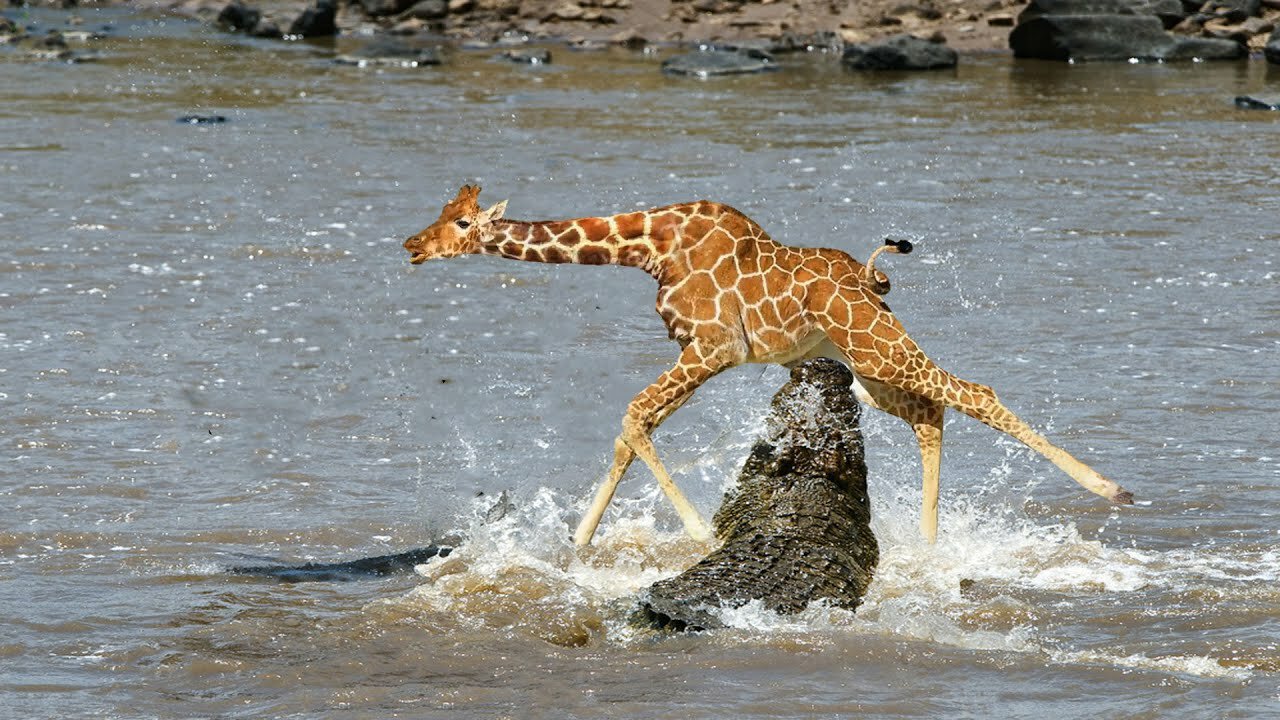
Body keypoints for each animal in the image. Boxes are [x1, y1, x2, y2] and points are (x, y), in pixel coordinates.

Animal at [404, 184, 1136, 543]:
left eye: (463, 223)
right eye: (442, 212)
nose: (413, 245)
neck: (647, 249)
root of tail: (870, 280)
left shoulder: (713, 348)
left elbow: (633, 416)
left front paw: (701, 531)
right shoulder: (696, 352)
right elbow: (630, 430)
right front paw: (578, 545)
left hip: (877, 347)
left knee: (973, 392)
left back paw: (1112, 489)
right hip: (867, 364)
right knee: (932, 412)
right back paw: (929, 545)